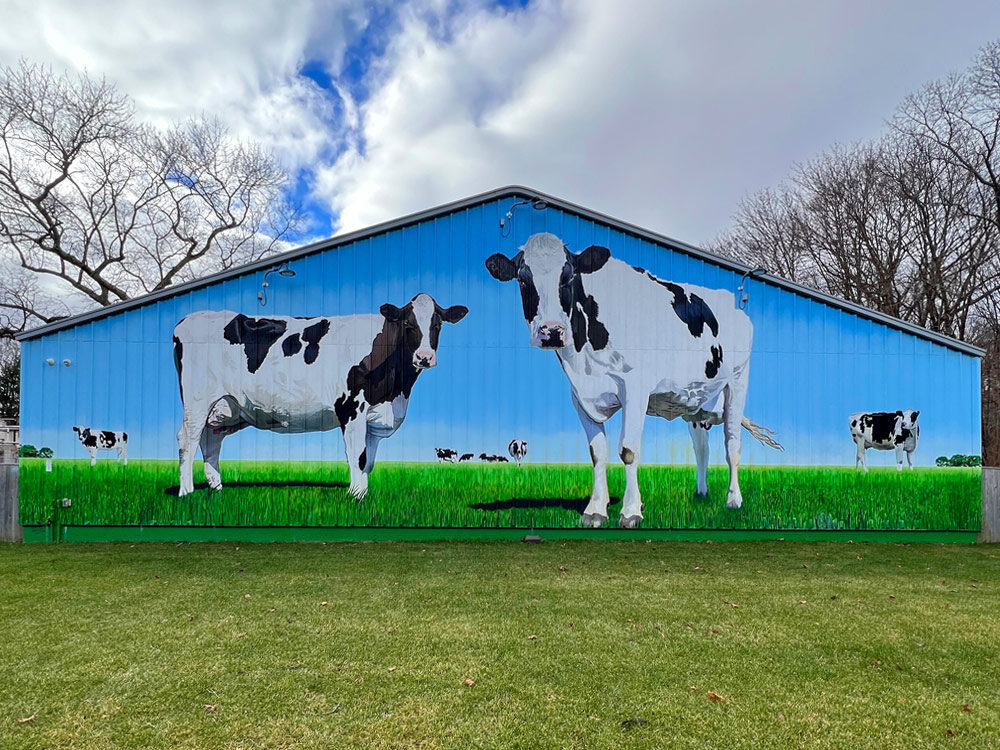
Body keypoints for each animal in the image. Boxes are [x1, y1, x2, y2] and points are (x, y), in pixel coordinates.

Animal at [173, 294, 468, 500]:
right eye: (408, 323)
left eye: (437, 324)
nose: (424, 357)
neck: (396, 392)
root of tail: (186, 320)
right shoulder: (351, 407)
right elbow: (356, 455)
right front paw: (355, 497)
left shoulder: (375, 418)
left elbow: (368, 460)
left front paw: (363, 495)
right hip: (198, 401)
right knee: (188, 439)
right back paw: (187, 492)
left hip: (226, 406)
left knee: (211, 442)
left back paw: (217, 490)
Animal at [484, 232, 780, 532]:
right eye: (523, 278)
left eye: (568, 276)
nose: (552, 332)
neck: (583, 360)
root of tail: (735, 304)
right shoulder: (579, 396)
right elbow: (597, 453)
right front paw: (595, 510)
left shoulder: (635, 389)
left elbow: (628, 450)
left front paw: (630, 512)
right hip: (695, 404)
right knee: (701, 447)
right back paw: (701, 493)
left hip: (738, 383)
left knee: (732, 445)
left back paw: (733, 500)